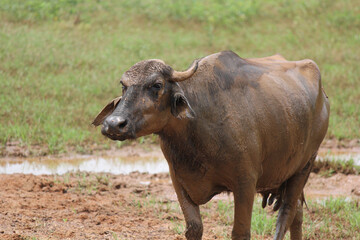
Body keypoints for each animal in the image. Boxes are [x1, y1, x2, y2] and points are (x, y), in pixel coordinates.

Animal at [92, 51, 330, 240]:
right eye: (123, 86)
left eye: (157, 85)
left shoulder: (245, 183)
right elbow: (194, 228)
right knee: (297, 213)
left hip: (305, 166)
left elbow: (240, 232)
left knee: (287, 214)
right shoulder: (179, 180)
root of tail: (324, 97)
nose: (113, 124)